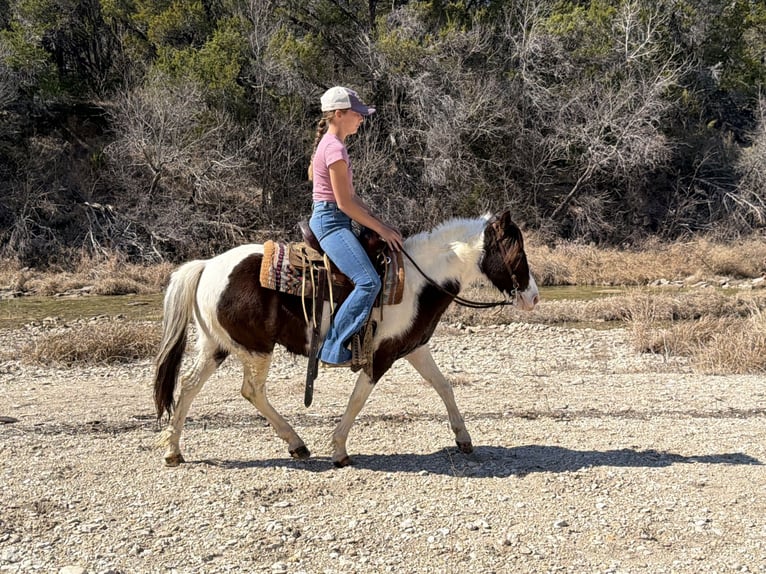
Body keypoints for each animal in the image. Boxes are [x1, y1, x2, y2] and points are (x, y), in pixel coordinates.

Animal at [153, 210, 539, 467]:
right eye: (517, 252)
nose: (533, 297)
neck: (419, 281)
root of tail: (207, 265)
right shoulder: (379, 356)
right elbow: (357, 400)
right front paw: (339, 449)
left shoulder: (414, 348)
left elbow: (444, 386)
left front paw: (463, 437)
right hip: (256, 348)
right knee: (252, 391)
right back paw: (297, 443)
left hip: (216, 346)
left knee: (189, 386)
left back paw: (174, 450)